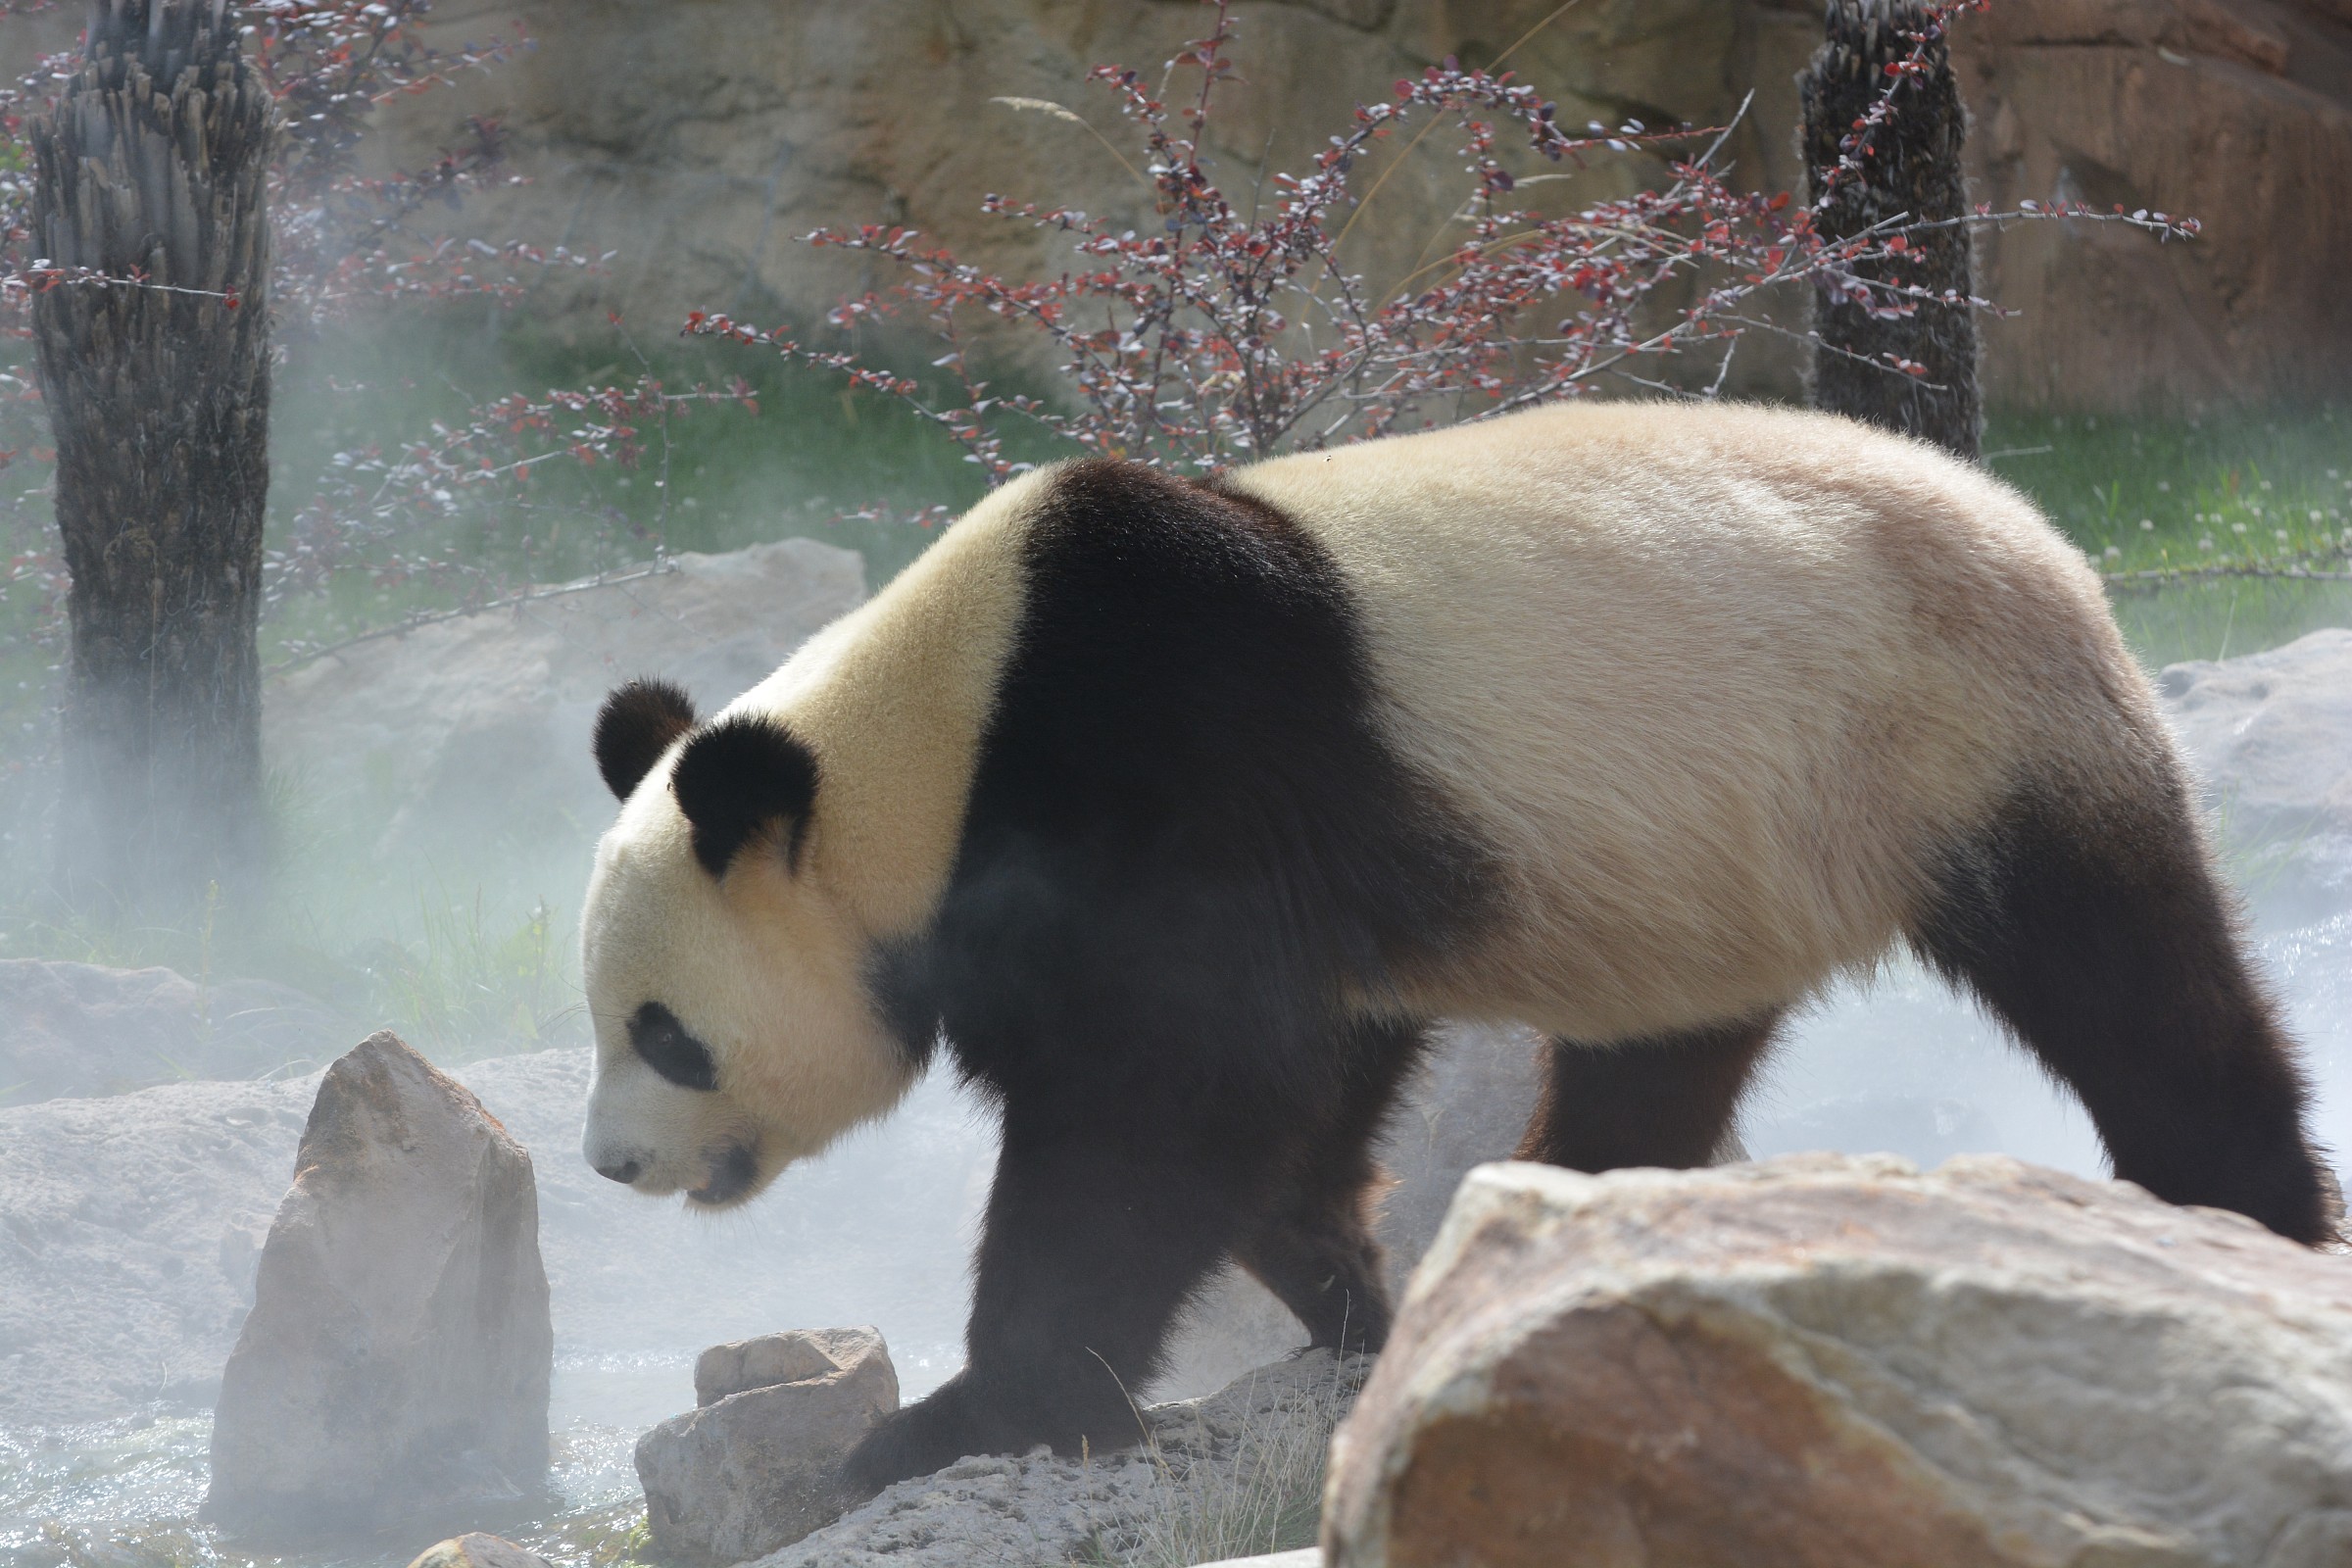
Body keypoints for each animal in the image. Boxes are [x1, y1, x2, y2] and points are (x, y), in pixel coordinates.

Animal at [578, 401, 2332, 1494]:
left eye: (661, 1029)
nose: (609, 1164)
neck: (925, 746)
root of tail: (2044, 529)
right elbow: (1289, 1078)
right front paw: (1351, 1298)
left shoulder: (1150, 759)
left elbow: (1176, 1093)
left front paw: (970, 1416)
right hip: (1718, 850)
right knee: (1663, 1055)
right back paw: (1565, 1223)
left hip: (1950, 729)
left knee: (2124, 979)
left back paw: (2247, 1210)